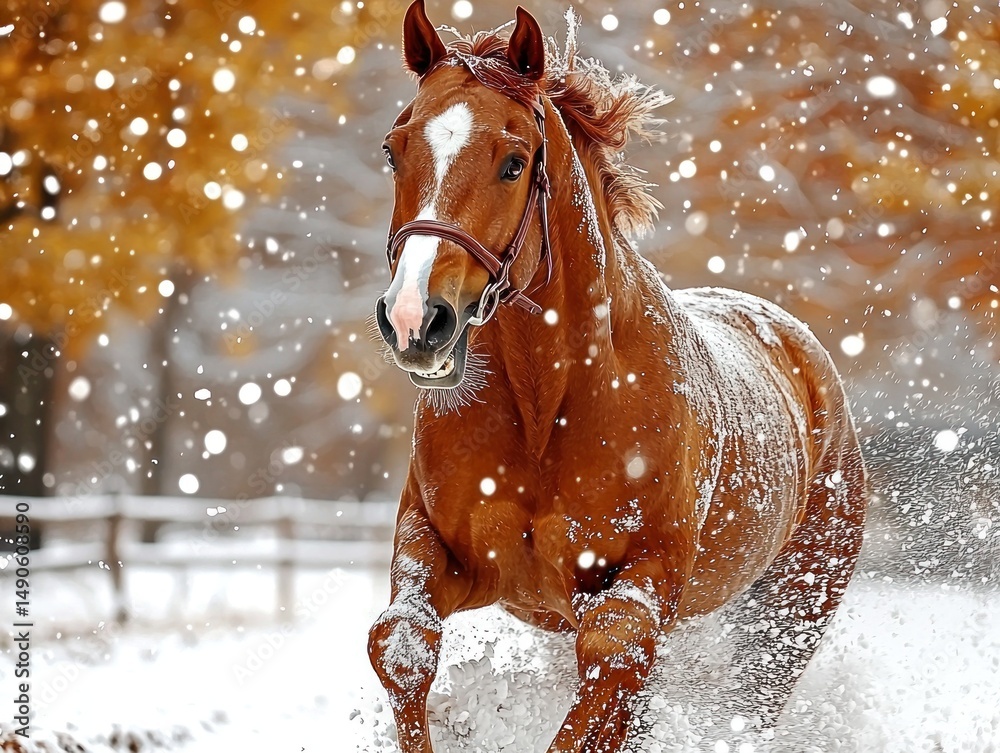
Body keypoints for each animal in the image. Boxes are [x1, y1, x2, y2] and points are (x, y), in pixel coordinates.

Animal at [367, 3, 867, 751]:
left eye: (514, 162)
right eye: (394, 151)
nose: (413, 318)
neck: (544, 407)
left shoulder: (641, 578)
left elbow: (613, 657)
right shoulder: (435, 542)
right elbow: (402, 642)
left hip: (793, 610)